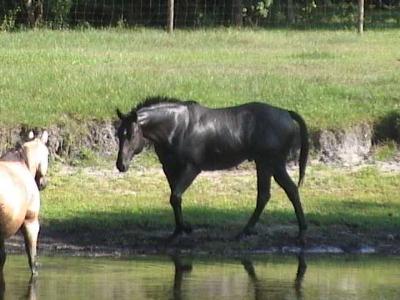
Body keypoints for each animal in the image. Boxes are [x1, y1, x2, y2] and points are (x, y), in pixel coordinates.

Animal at [115, 97, 310, 243]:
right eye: (118, 134)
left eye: (131, 134)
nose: (120, 165)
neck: (176, 127)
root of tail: (286, 113)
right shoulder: (169, 169)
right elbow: (175, 198)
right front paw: (179, 230)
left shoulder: (192, 168)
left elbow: (175, 196)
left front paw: (185, 228)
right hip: (269, 165)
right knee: (280, 192)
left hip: (269, 163)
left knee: (275, 193)